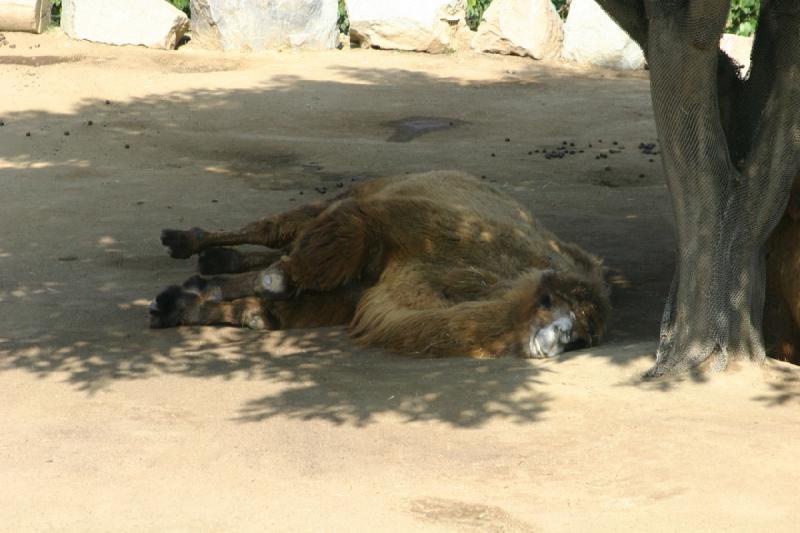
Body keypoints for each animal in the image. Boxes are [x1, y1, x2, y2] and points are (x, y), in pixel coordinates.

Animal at [150, 171, 608, 358]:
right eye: (548, 303)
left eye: (582, 337)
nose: (561, 336)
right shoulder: (393, 224)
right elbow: (280, 280)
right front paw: (187, 292)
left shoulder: (359, 296)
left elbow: (267, 312)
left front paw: (177, 303)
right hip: (346, 198)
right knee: (275, 229)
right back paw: (184, 241)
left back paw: (211, 263)